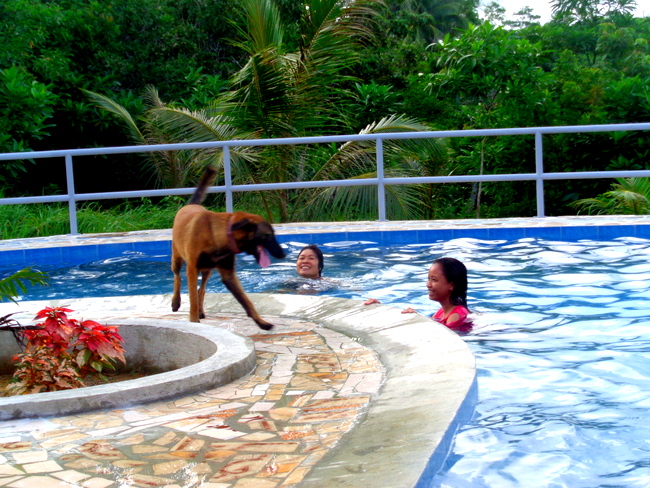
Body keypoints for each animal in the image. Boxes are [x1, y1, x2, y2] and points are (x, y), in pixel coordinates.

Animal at [171, 166, 284, 330]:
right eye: (267, 236)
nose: (283, 254)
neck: (217, 235)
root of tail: (189, 205)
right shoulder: (192, 269)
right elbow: (192, 300)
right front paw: (194, 321)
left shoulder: (228, 275)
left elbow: (247, 301)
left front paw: (261, 322)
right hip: (178, 259)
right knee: (177, 277)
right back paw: (176, 302)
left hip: (207, 270)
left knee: (201, 289)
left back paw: (201, 311)